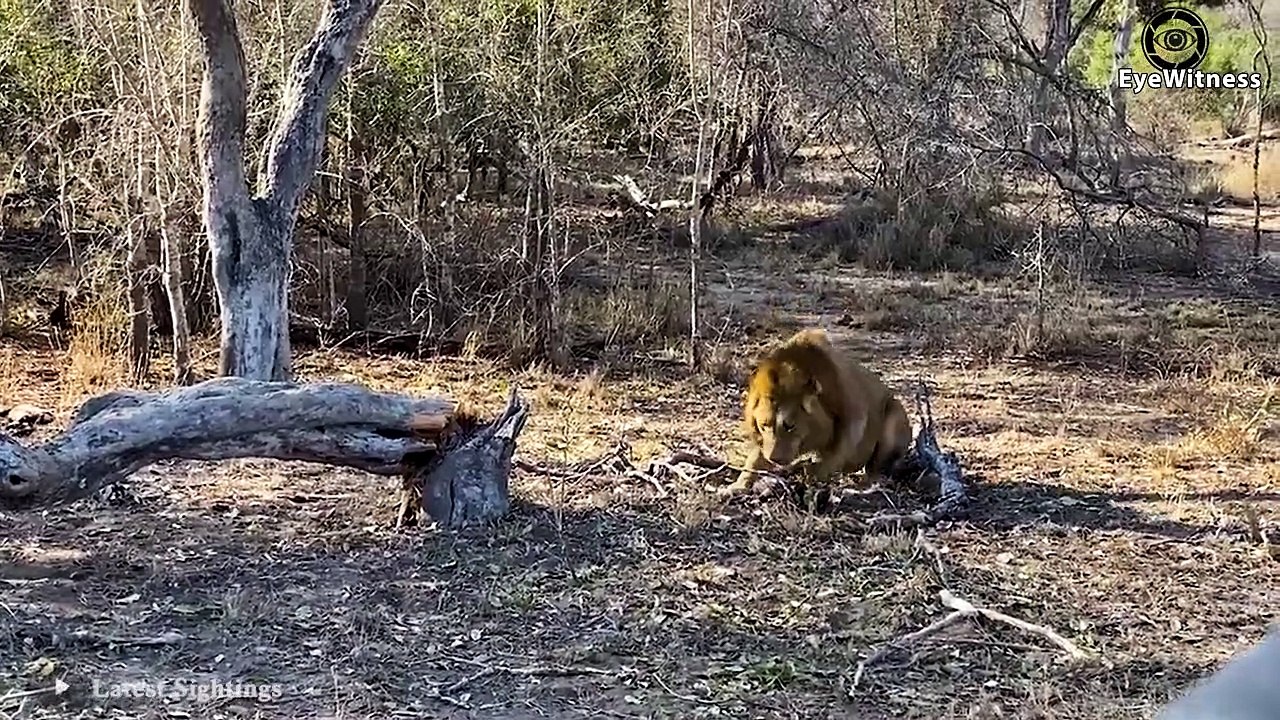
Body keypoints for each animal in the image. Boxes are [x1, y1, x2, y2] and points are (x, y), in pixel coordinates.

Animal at [722, 328, 912, 495]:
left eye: (790, 426)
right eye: (764, 426)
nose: (774, 459)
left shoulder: (854, 413)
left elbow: (837, 452)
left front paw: (814, 476)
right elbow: (754, 458)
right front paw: (737, 486)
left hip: (895, 415)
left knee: (877, 468)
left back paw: (867, 484)